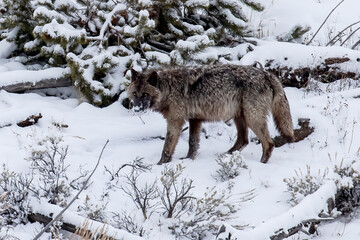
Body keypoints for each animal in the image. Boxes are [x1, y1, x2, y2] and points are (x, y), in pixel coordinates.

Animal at [128, 64, 294, 165]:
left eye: (145, 95)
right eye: (135, 94)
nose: (136, 109)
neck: (168, 89)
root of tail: (268, 75)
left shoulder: (176, 121)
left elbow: (167, 147)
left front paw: (161, 164)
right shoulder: (195, 120)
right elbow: (193, 143)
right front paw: (188, 160)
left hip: (252, 119)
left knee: (269, 144)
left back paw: (261, 164)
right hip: (240, 117)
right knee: (243, 140)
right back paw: (225, 156)